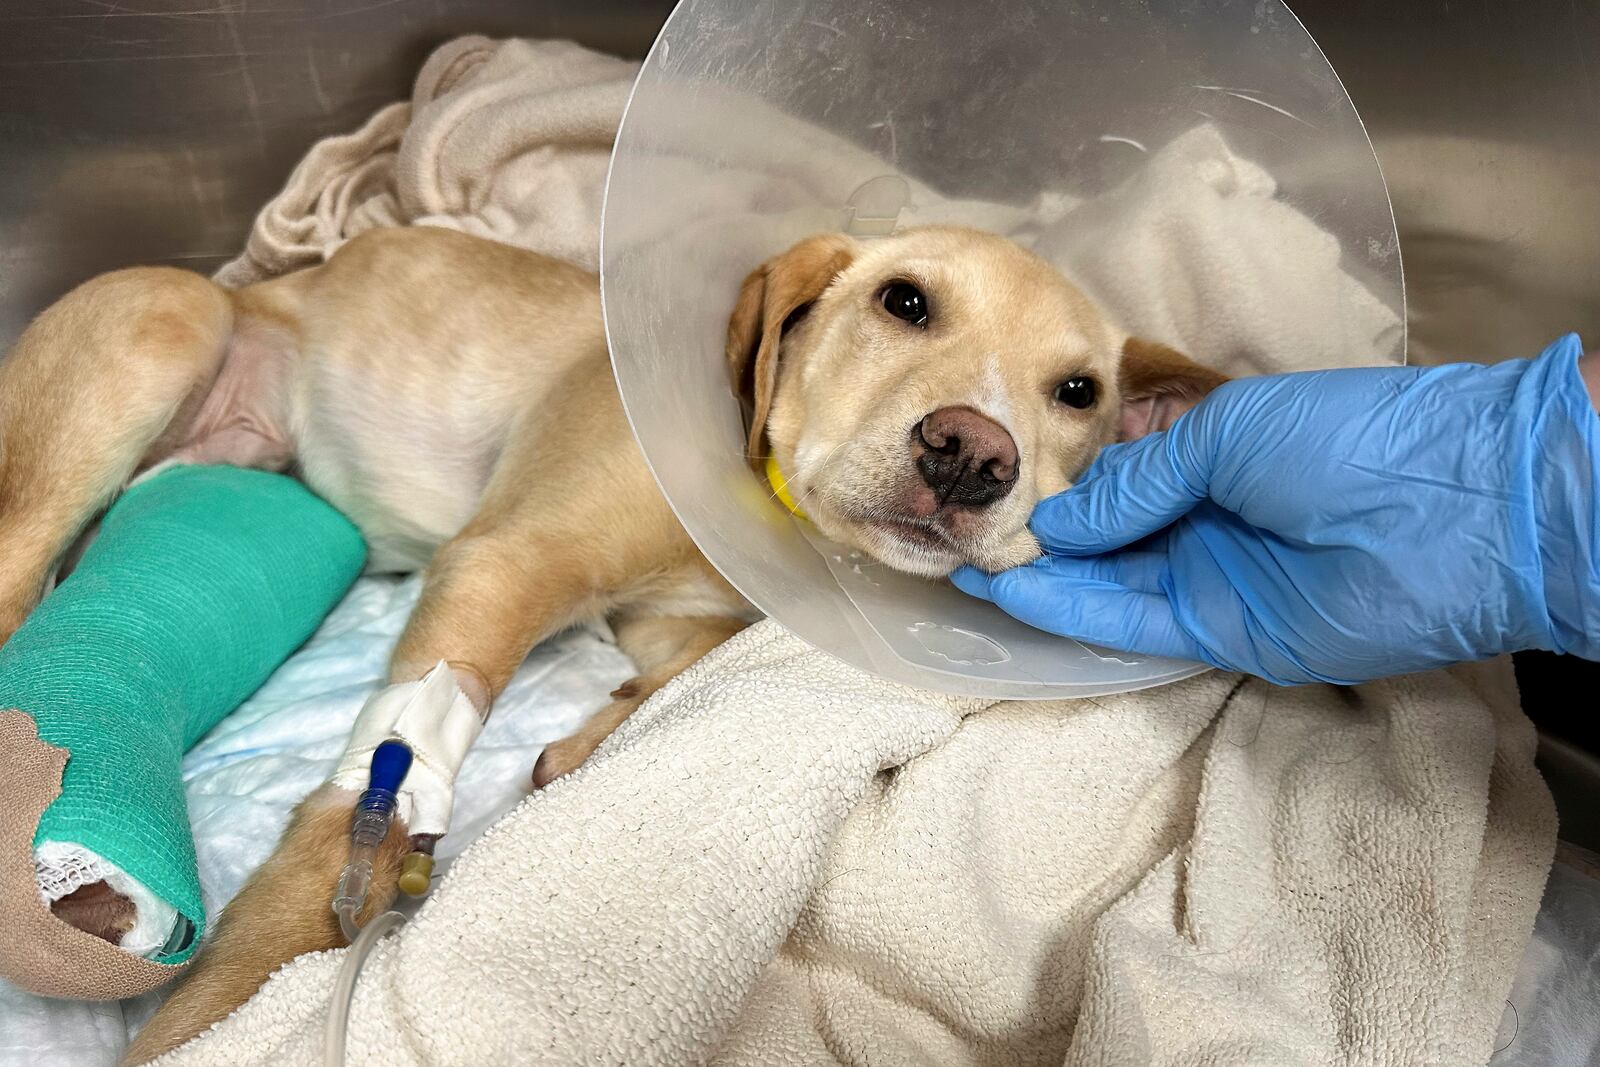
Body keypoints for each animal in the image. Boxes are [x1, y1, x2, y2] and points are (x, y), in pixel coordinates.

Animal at [0, 225, 1222, 1062]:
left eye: (1079, 391)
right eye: (904, 300)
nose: (971, 454)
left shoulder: (678, 616)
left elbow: (680, 672)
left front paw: (588, 741)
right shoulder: (508, 561)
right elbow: (358, 812)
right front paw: (221, 1014)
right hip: (165, 328)